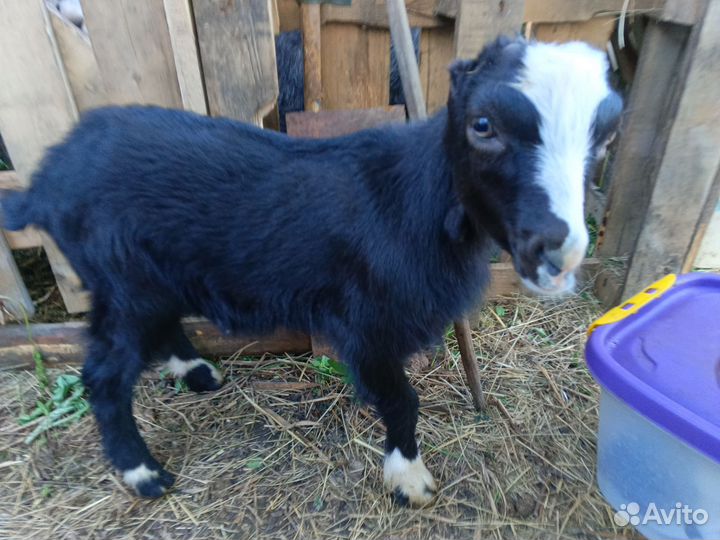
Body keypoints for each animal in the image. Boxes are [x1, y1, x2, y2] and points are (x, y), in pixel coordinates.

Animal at [2, 36, 622, 506]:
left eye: (607, 133)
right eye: (483, 124)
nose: (557, 252)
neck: (417, 201)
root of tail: (47, 180)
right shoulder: (366, 324)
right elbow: (403, 400)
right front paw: (409, 480)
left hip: (152, 276)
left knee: (164, 324)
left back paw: (199, 372)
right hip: (123, 279)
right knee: (104, 376)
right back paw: (143, 474)